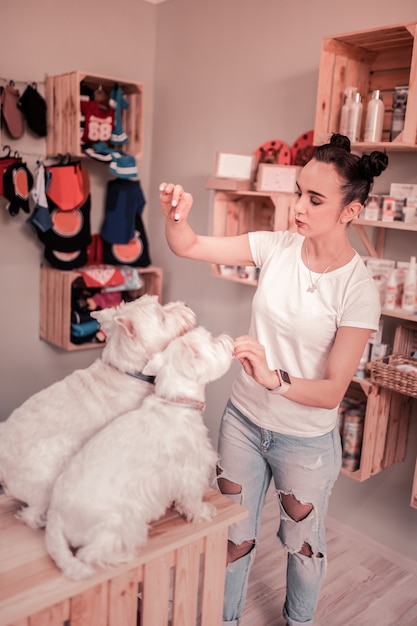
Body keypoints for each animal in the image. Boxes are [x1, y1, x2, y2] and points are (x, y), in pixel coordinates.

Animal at [45, 324, 234, 576]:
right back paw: (124, 555)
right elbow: (192, 499)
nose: (229, 339)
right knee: (90, 554)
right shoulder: (190, 471)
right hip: (118, 521)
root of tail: (55, 517)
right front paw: (203, 512)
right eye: (212, 341)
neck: (176, 403)